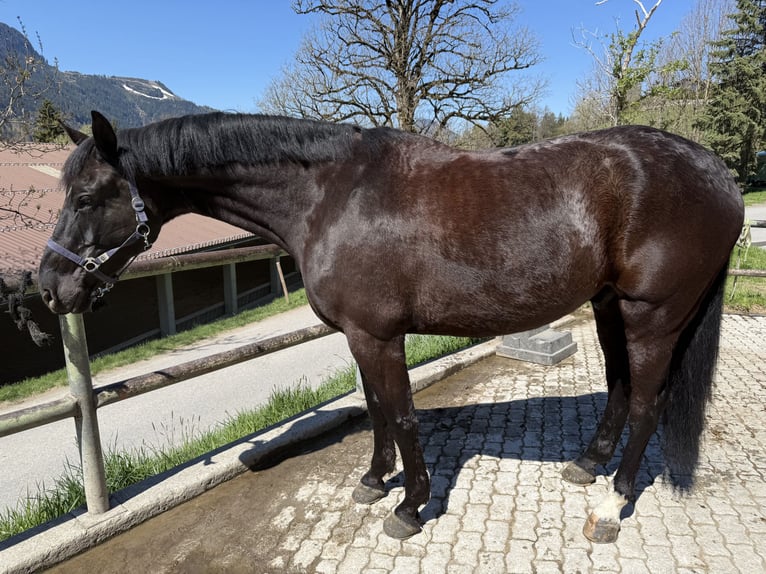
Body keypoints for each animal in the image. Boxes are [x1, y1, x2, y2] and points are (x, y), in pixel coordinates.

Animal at [38, 110, 744, 544]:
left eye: (85, 199)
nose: (50, 288)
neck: (330, 196)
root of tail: (721, 176)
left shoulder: (379, 336)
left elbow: (401, 413)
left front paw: (410, 507)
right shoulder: (356, 336)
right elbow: (376, 408)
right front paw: (375, 482)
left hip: (651, 316)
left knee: (648, 400)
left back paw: (612, 501)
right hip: (607, 307)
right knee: (621, 388)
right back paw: (586, 465)